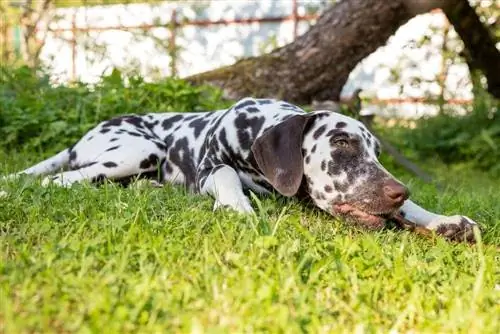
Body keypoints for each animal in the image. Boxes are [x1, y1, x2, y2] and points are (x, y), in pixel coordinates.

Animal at [1, 98, 478, 241]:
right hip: (136, 151)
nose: (399, 190)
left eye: (376, 152)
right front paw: (237, 208)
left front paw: (443, 220)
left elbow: (414, 214)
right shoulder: (212, 167)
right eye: (342, 143)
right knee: (60, 180)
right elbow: (227, 176)